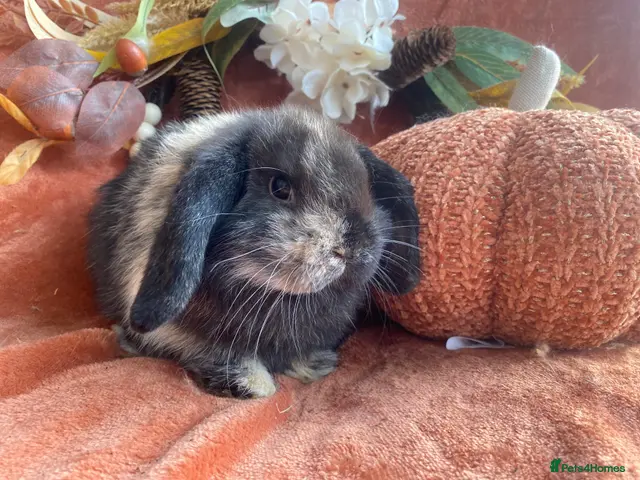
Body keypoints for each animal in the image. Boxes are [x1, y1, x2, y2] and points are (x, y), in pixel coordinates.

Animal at [87, 105, 421, 399]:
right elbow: (222, 356)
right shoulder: (180, 334)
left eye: (367, 187)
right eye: (279, 187)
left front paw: (313, 366)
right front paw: (253, 385)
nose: (353, 248)